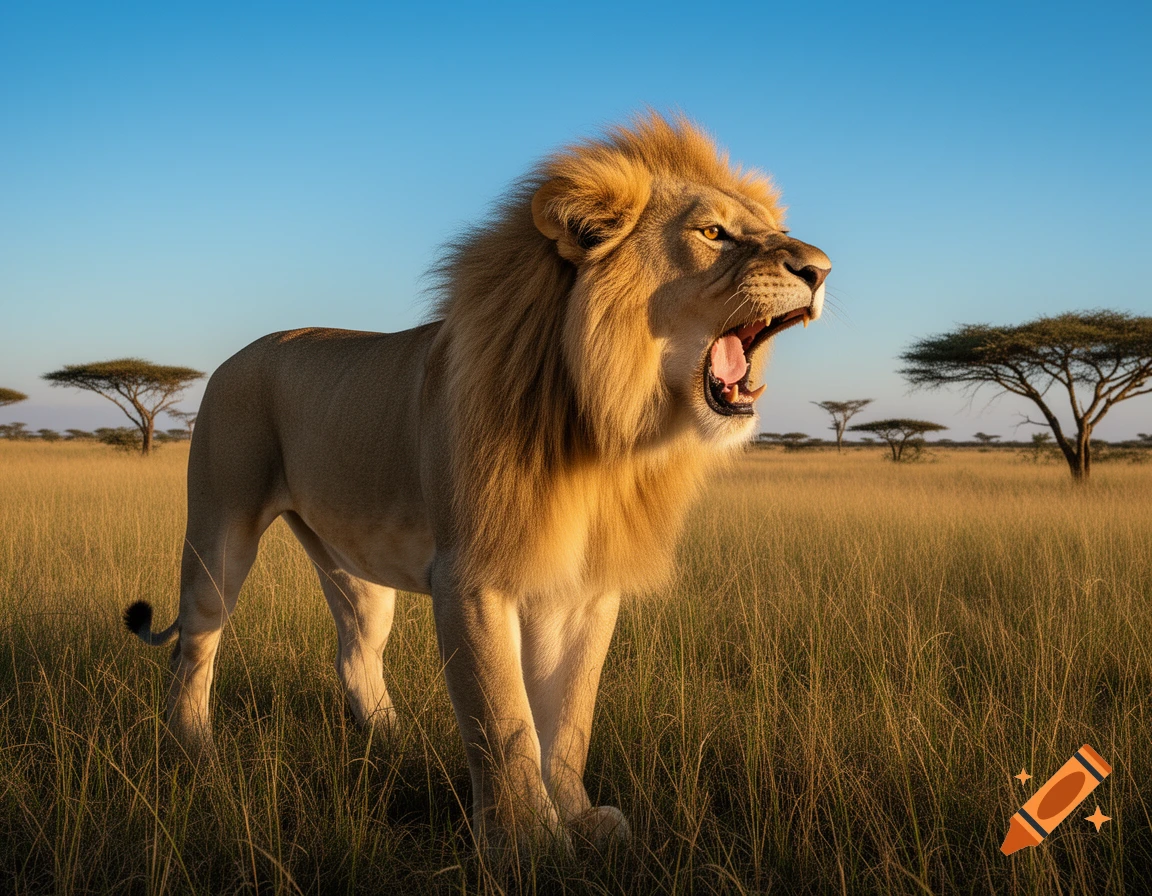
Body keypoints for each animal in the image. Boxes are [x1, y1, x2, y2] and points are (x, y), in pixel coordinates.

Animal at [124, 113, 829, 855]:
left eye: (770, 228)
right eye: (713, 233)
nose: (821, 269)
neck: (608, 430)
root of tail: (238, 354)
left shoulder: (584, 589)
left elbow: (568, 718)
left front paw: (577, 817)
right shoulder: (473, 576)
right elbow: (503, 716)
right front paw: (530, 846)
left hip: (355, 567)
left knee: (354, 653)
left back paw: (394, 741)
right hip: (219, 529)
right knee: (195, 644)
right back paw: (195, 749)